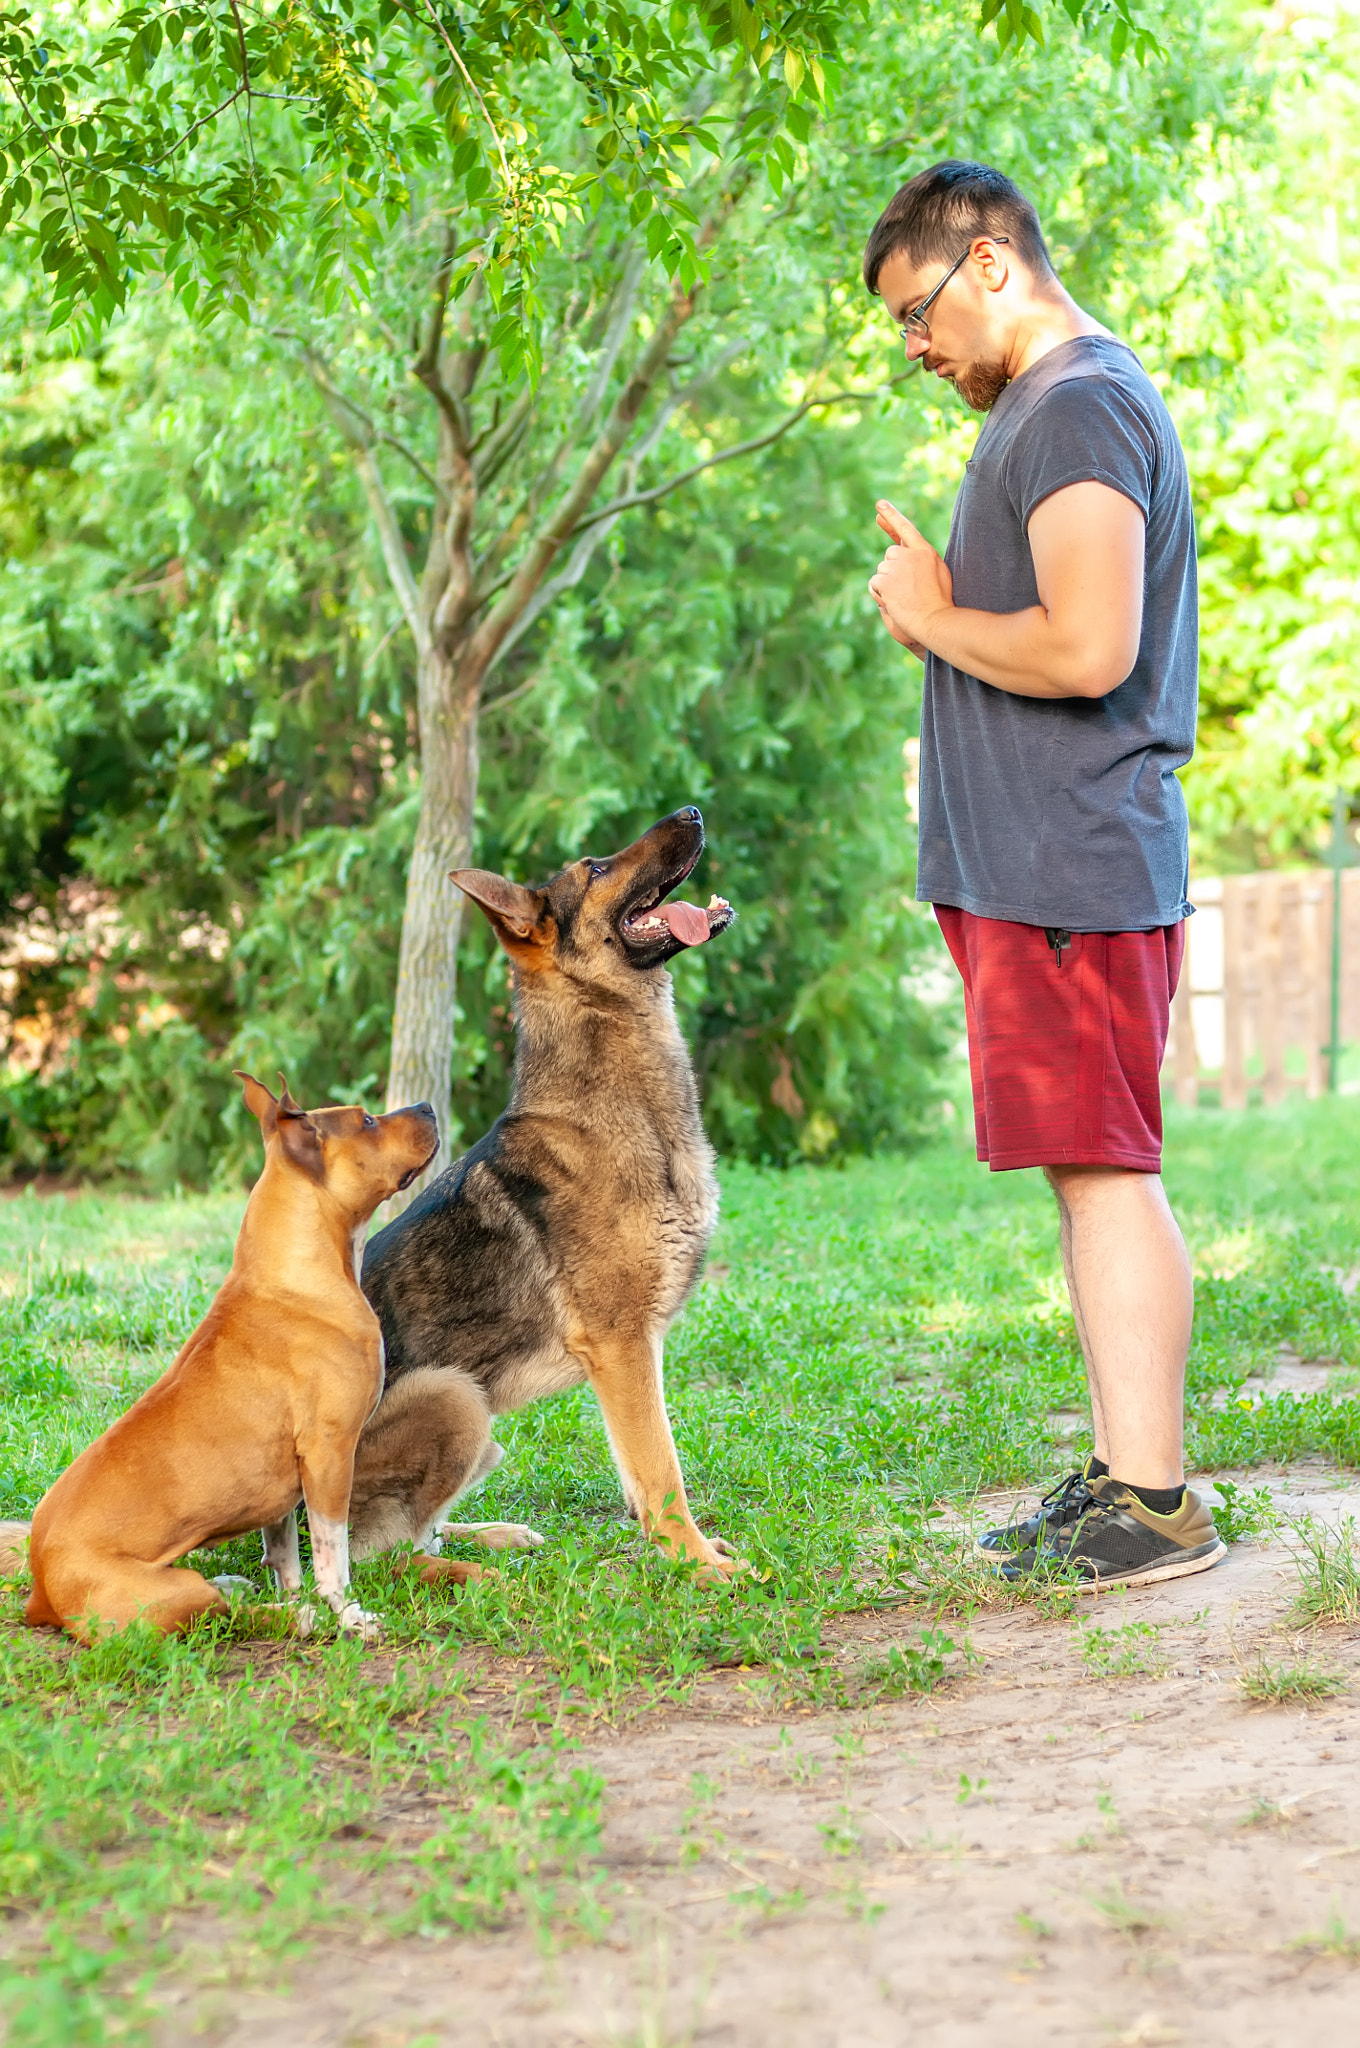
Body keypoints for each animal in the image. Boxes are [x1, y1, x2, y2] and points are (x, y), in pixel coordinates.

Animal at [19, 1081, 436, 1638]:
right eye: (367, 1120)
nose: (427, 1107)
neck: (294, 1274)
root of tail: (41, 1589)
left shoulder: (282, 1479)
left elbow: (284, 1555)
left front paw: (298, 1593)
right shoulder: (329, 1454)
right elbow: (333, 1554)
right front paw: (347, 1615)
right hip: (172, 1591)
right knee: (228, 1612)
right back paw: (290, 1615)